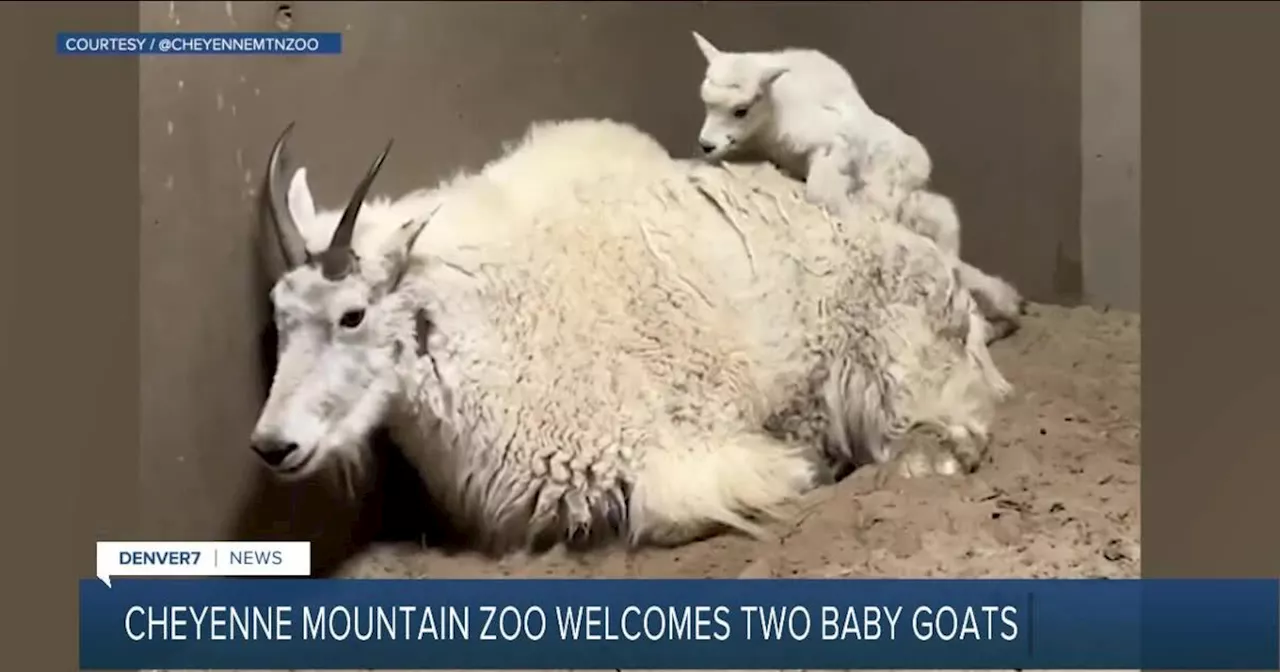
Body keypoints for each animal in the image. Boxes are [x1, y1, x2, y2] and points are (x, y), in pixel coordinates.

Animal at [247, 116, 1008, 555]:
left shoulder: (672, 441)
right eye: (279, 314)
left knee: (946, 435)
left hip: (898, 361)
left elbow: (667, 508)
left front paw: (807, 466)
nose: (273, 445)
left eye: (352, 315)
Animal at [691, 30, 1029, 340]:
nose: (706, 144)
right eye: (706, 103)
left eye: (741, 110)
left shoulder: (833, 146)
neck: (776, 115)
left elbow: (824, 193)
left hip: (905, 199)